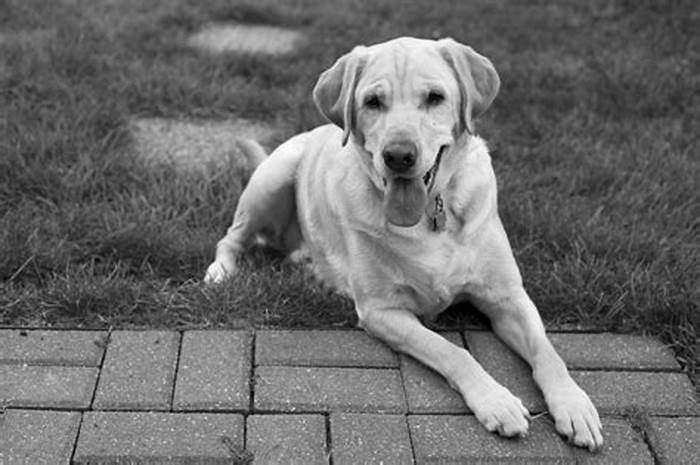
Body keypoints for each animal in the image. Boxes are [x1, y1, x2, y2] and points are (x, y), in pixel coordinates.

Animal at [205, 36, 604, 450]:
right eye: (372, 102)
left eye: (434, 97)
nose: (398, 155)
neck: (431, 215)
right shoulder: (382, 311)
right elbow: (453, 351)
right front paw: (496, 401)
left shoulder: (508, 297)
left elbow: (548, 352)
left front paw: (574, 405)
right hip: (272, 179)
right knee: (231, 237)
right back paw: (220, 273)